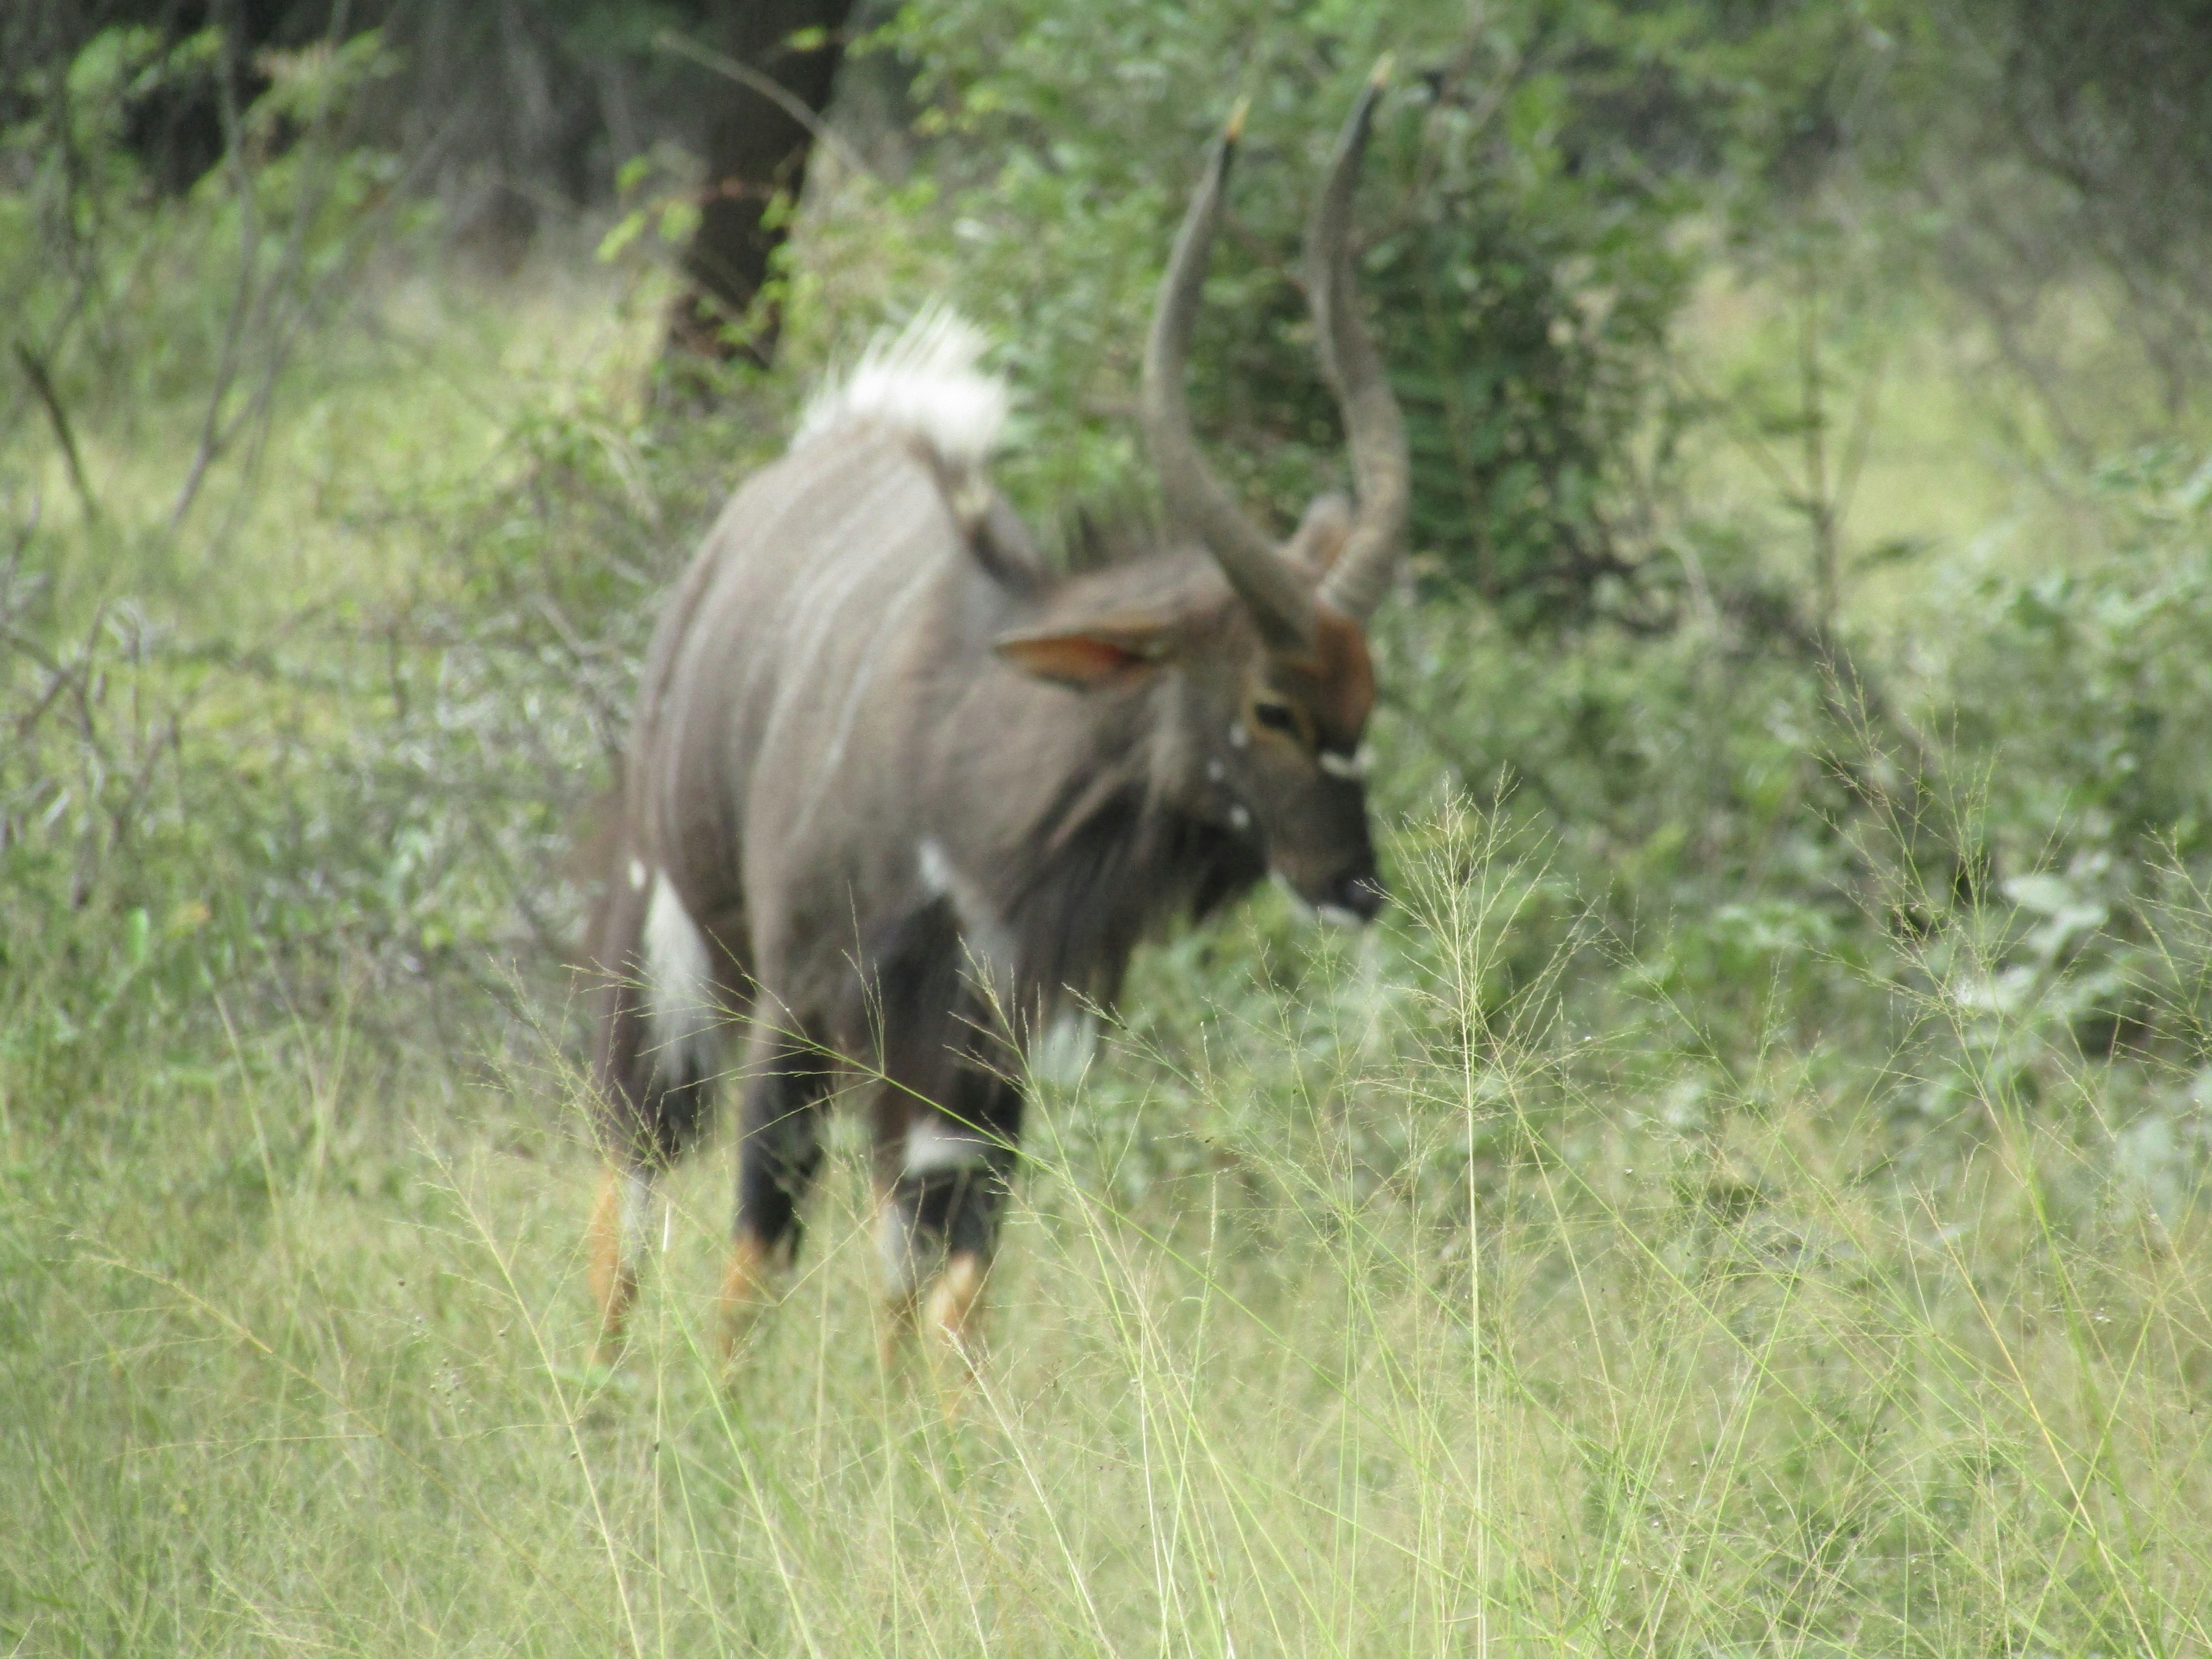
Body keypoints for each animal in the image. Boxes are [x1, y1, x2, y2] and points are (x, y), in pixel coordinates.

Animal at [585, 69, 1409, 1372]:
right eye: (1270, 705)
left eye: (1367, 695)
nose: (1355, 884)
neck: (960, 780)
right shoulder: (803, 1020)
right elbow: (752, 1270)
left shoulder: (981, 1073)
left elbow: (948, 1299)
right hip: (668, 944)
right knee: (636, 1173)